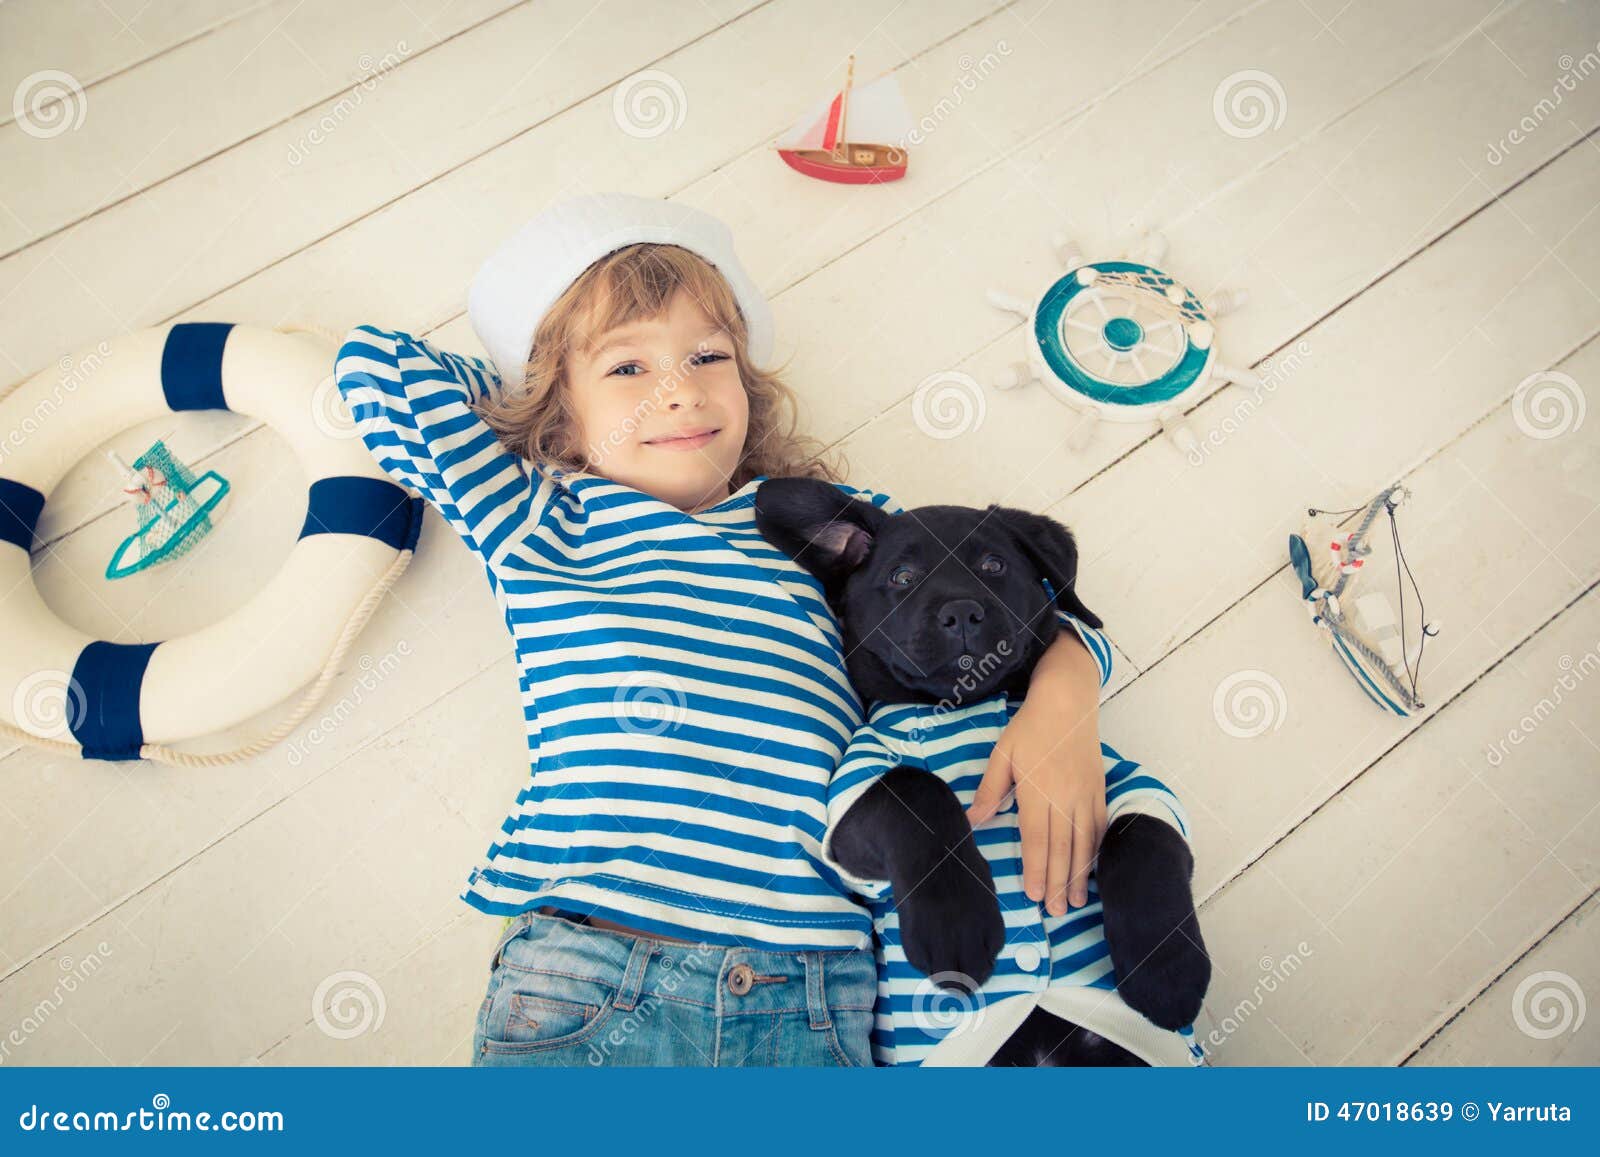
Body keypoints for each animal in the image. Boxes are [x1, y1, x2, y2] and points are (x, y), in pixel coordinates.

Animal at [755, 476, 1203, 1068]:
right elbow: (916, 787)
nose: (963, 612)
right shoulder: (850, 809)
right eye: (902, 577)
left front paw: (1168, 973)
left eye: (993, 565)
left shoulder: (1129, 784)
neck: (965, 706)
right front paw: (956, 925)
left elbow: (1139, 832)